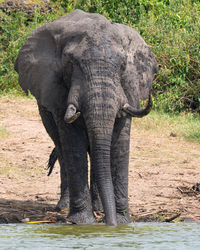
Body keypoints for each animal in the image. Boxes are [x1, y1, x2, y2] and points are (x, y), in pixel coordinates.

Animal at [14, 9, 158, 226]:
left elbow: (119, 144)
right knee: (63, 149)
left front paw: (122, 221)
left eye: (123, 65)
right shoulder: (57, 90)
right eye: (71, 64)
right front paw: (82, 223)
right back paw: (64, 207)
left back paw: (99, 208)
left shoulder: (129, 88)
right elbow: (73, 143)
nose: (110, 225)